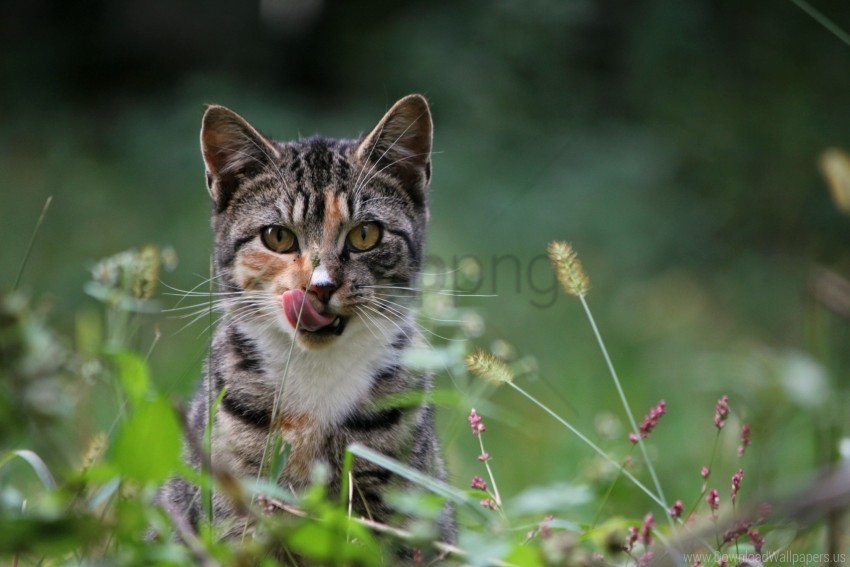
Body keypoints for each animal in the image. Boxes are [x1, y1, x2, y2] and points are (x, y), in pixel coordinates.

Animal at [156, 94, 454, 552]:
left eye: (365, 234)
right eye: (278, 237)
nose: (319, 287)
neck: (318, 373)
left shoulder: (394, 502)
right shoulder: (234, 505)